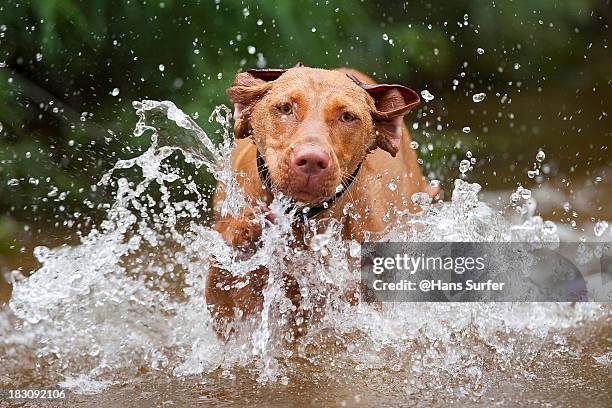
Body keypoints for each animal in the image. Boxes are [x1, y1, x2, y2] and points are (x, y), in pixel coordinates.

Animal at [206, 64, 436, 338]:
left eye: (347, 117)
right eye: (285, 108)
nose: (312, 160)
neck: (301, 218)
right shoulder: (228, 311)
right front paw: (247, 229)